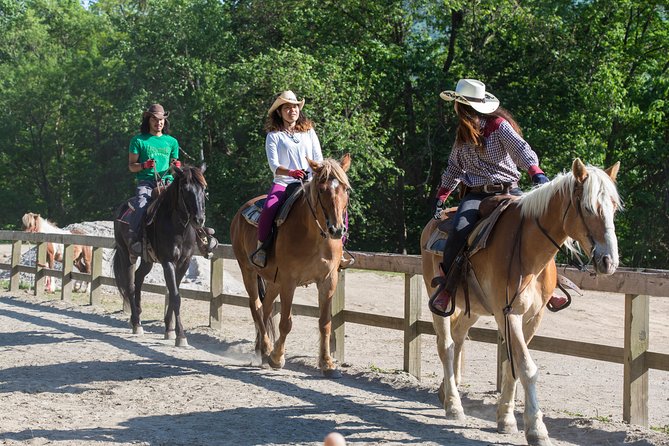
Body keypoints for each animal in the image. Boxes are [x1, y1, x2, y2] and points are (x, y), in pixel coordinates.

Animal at [112, 164, 207, 344]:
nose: (199, 219)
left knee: (139, 278)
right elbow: (175, 296)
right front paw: (181, 336)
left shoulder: (184, 263)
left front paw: (169, 329)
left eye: (204, 189)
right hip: (125, 254)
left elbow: (173, 293)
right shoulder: (168, 261)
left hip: (147, 260)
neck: (178, 228)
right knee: (130, 285)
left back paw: (138, 315)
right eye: (185, 189)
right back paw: (136, 324)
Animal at [420, 159, 620, 446]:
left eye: (614, 207)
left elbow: (510, 364)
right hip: (438, 299)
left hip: (476, 308)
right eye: (588, 207)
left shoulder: (532, 317)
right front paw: (536, 428)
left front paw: (506, 419)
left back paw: (446, 390)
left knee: (458, 337)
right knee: (446, 345)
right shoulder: (509, 313)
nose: (608, 262)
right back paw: (453, 405)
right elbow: (526, 367)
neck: (529, 250)